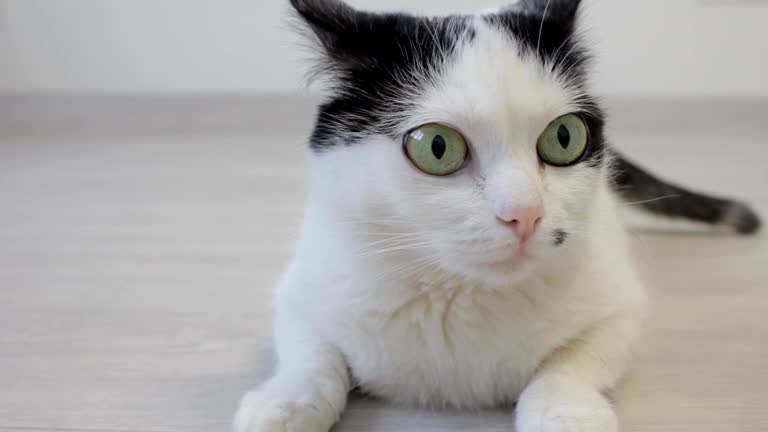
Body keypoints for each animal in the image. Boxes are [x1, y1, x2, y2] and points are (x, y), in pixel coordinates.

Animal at [234, 0, 760, 432]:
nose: (524, 214)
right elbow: (312, 356)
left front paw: (565, 411)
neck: (461, 299)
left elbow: (575, 360)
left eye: (564, 137)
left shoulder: (621, 306)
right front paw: (284, 404)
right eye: (437, 147)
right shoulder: (304, 288)